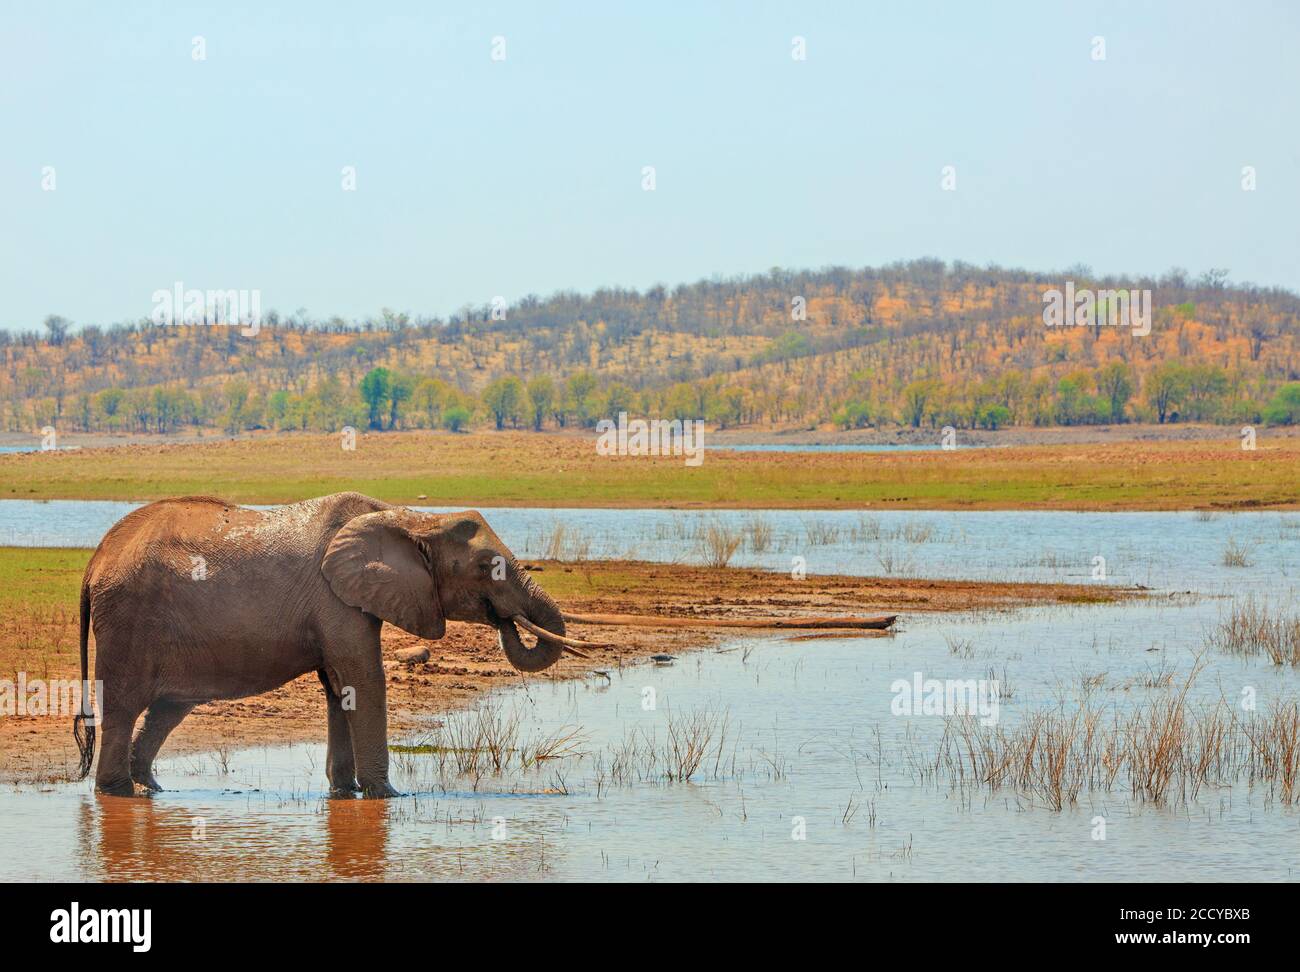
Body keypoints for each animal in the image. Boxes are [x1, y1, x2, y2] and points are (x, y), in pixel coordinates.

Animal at [73, 493, 577, 795]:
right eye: (487, 567)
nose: (505, 619)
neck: (409, 519)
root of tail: (96, 560)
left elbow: (341, 689)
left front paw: (345, 793)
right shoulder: (337, 600)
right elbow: (364, 680)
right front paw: (387, 797)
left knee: (167, 708)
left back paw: (151, 788)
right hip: (129, 620)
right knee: (123, 705)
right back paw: (117, 792)